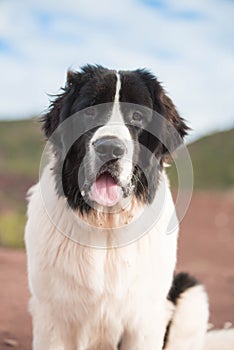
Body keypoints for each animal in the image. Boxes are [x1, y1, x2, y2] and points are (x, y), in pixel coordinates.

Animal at [24, 64, 212, 348]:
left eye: (137, 116)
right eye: (90, 111)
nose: (109, 148)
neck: (106, 224)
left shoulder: (145, 320)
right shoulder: (52, 317)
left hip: (191, 294)